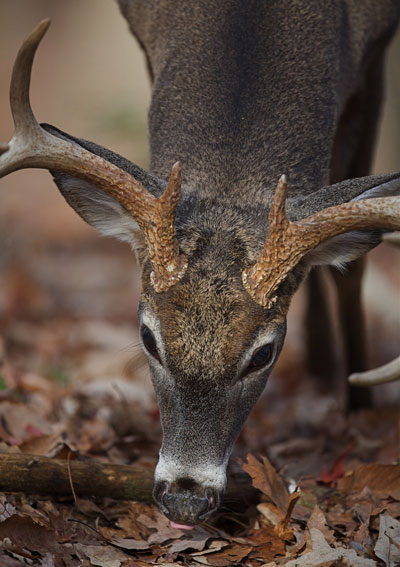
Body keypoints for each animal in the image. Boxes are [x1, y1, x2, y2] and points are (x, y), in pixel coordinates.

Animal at [0, 3, 400, 528]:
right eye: (148, 337)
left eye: (263, 354)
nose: (184, 498)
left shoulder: (376, 51)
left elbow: (351, 272)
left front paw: (359, 408)